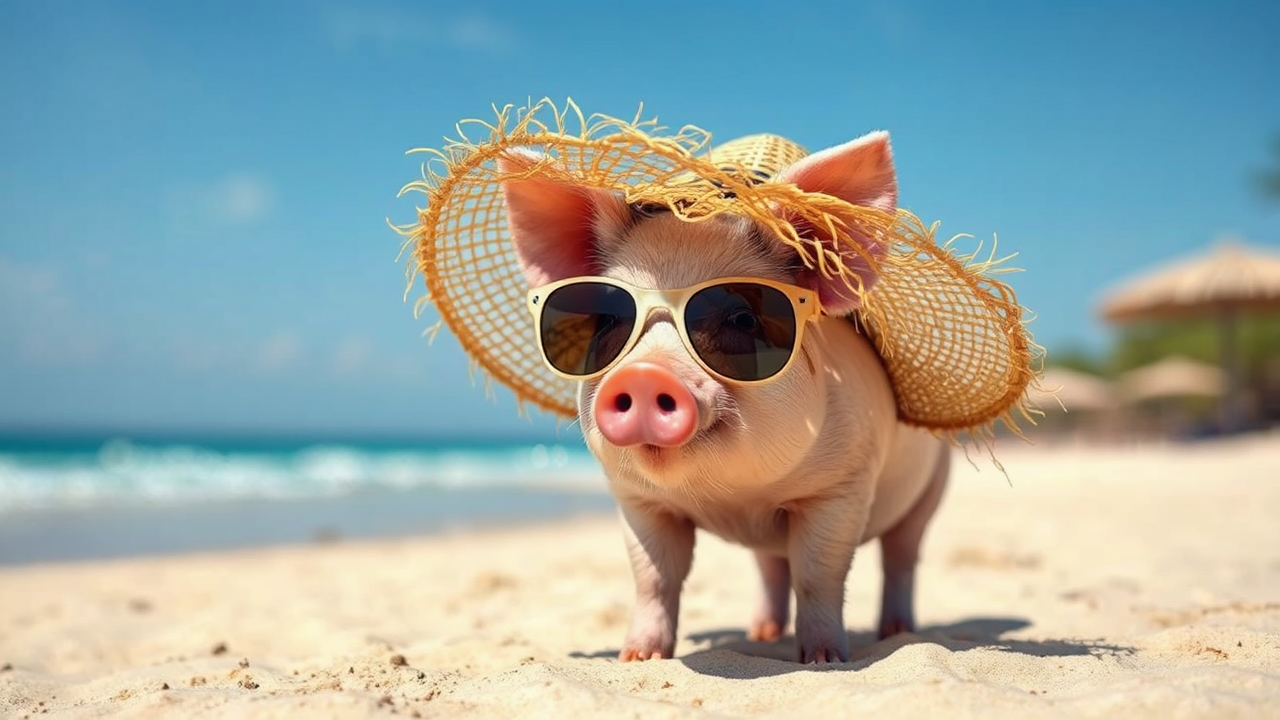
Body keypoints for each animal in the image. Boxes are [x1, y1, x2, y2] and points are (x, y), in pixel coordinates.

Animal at [497, 130, 950, 664]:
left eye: (742, 318)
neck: (735, 499)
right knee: (772, 566)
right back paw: (761, 636)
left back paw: (895, 632)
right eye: (609, 320)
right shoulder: (638, 499)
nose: (646, 375)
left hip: (933, 488)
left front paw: (826, 660)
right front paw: (637, 659)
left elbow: (819, 575)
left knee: (901, 557)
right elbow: (654, 578)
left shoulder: (841, 486)